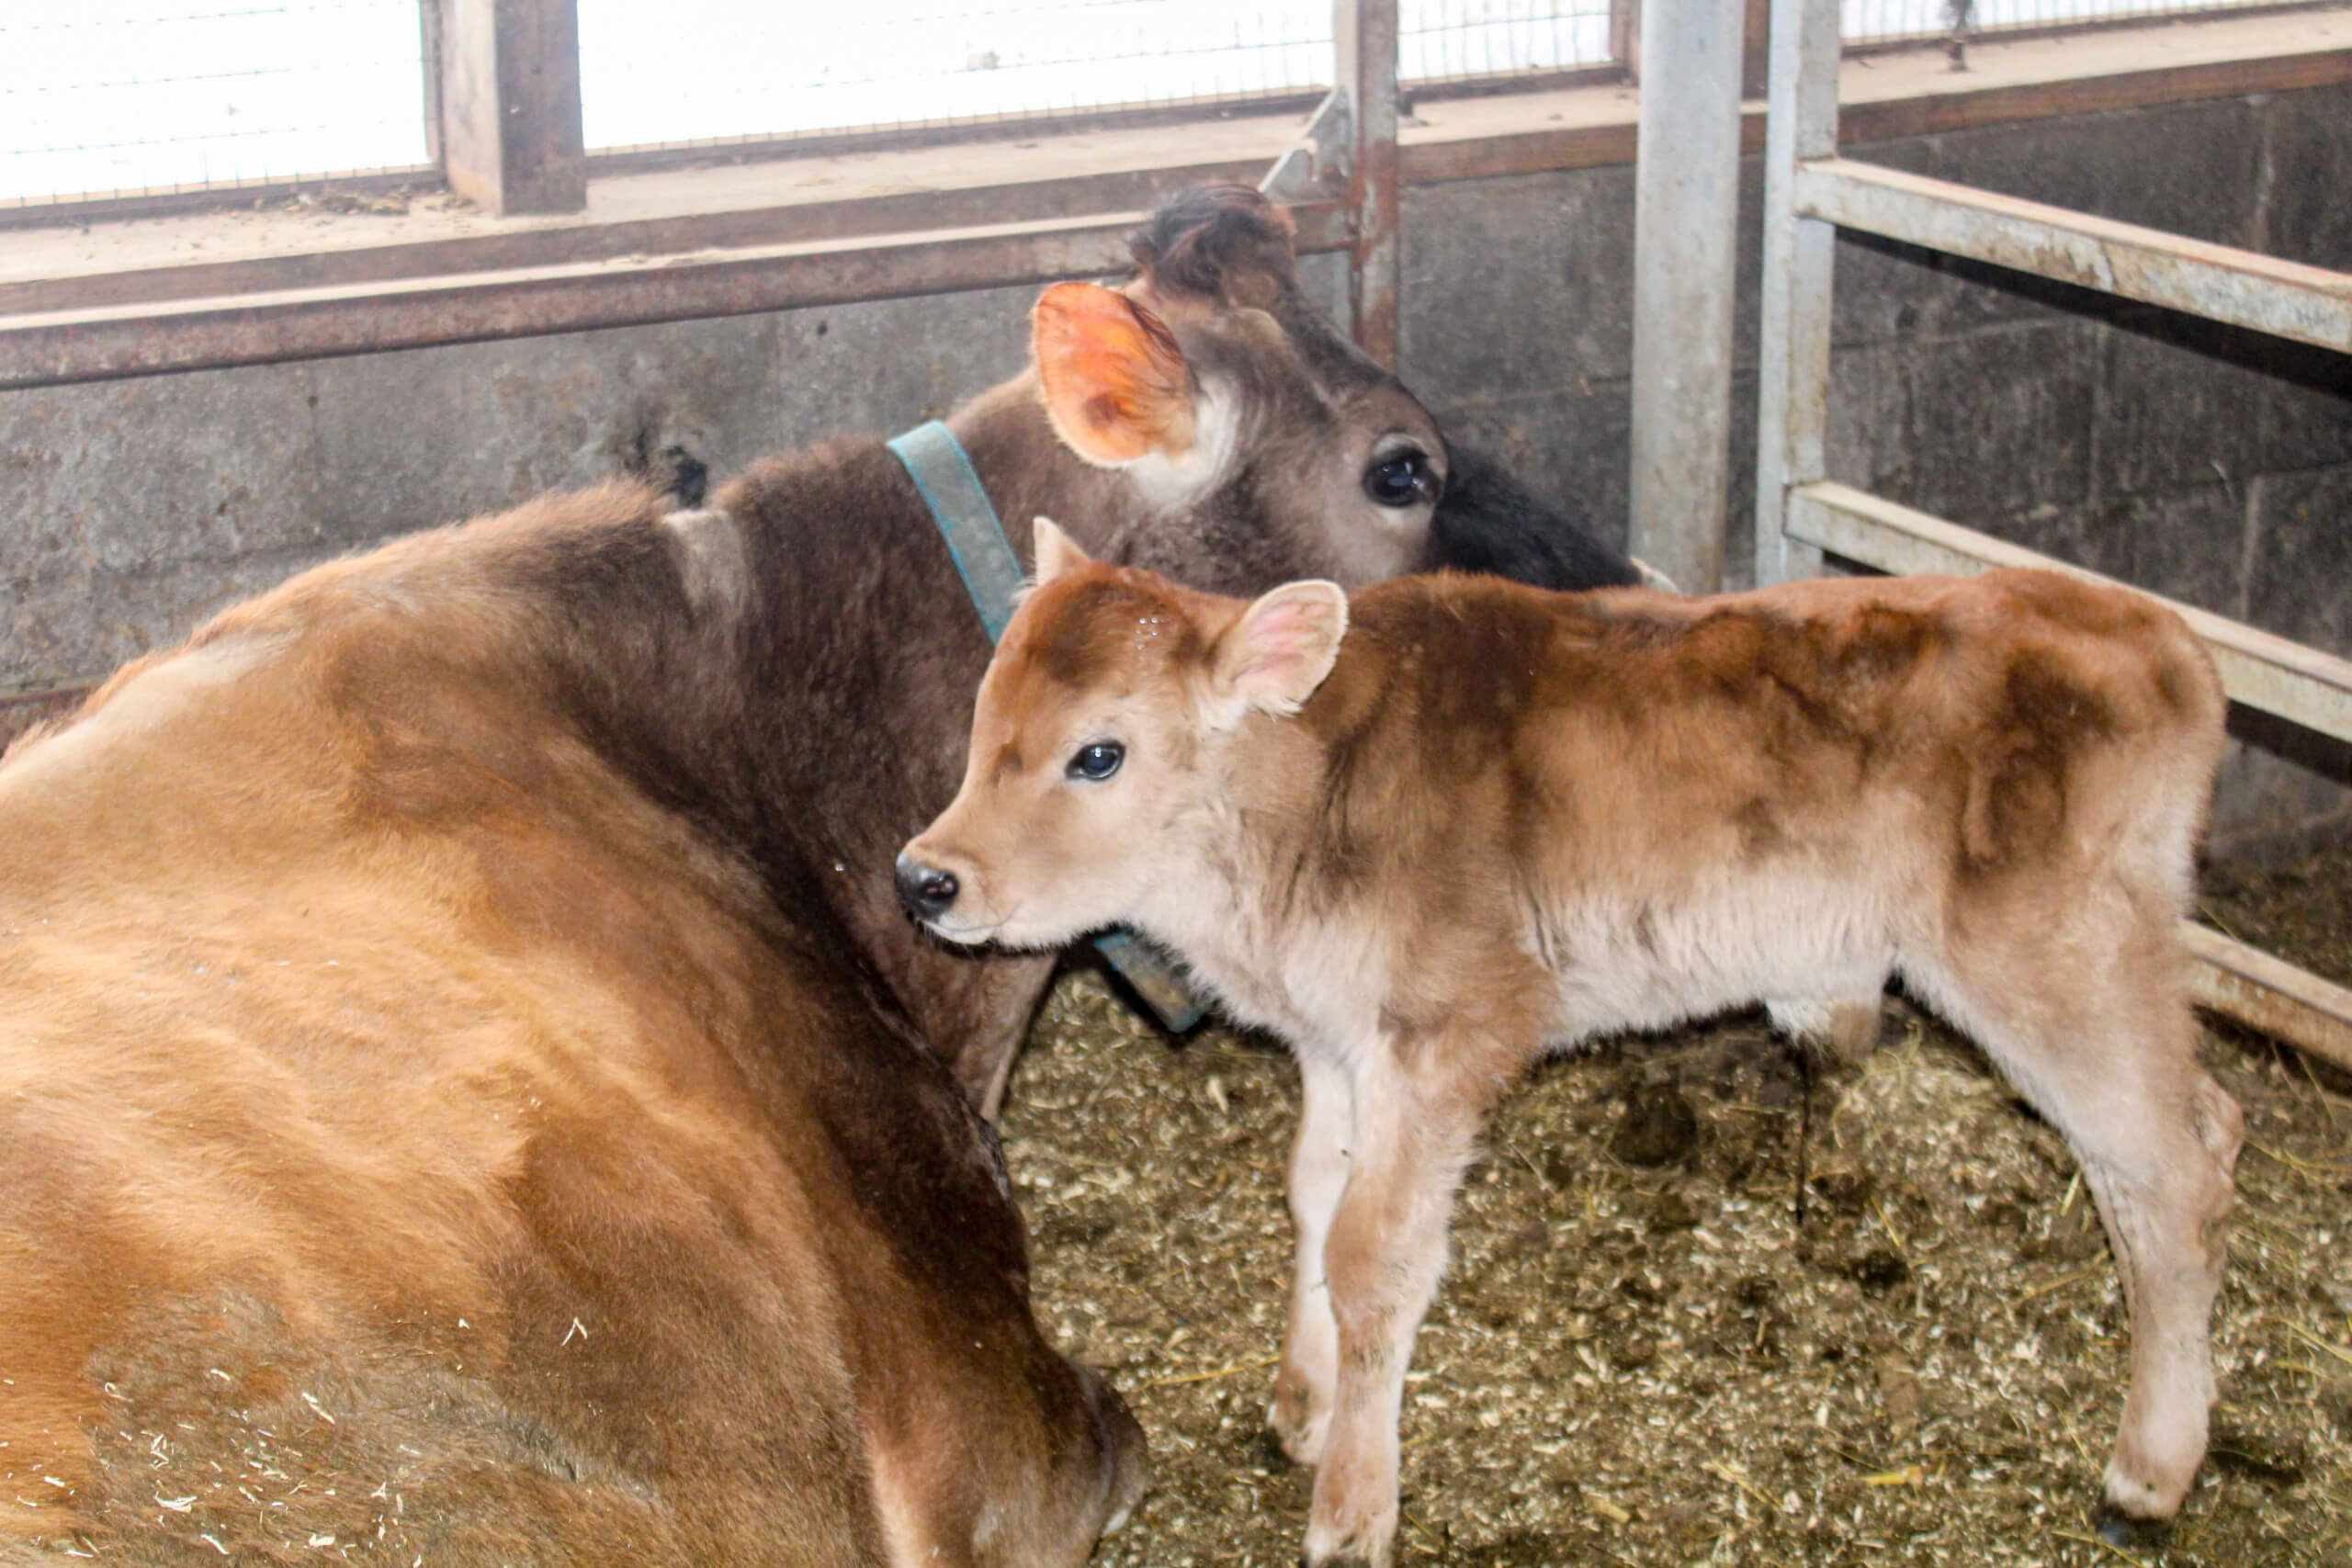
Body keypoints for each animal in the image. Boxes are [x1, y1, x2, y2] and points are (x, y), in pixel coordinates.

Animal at [900, 521, 2245, 1568]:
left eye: (1100, 752)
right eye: (982, 717)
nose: (925, 876)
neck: (1303, 802)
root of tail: (2157, 636)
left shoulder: (1446, 1028)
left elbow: (1377, 1255)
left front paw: (1351, 1509)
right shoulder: (1340, 1038)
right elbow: (1314, 1204)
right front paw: (1302, 1407)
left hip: (2052, 954)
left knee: (2166, 1165)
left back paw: (2148, 1472)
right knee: (2206, 1125)